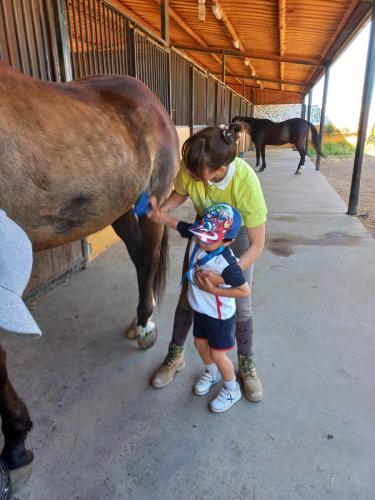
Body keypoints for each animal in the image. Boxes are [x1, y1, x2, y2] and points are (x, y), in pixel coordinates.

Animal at [0, 61, 179, 468]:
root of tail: (150, 100)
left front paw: (16, 442)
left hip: (151, 204)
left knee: (149, 256)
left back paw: (145, 326)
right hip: (119, 209)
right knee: (140, 259)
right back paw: (139, 319)